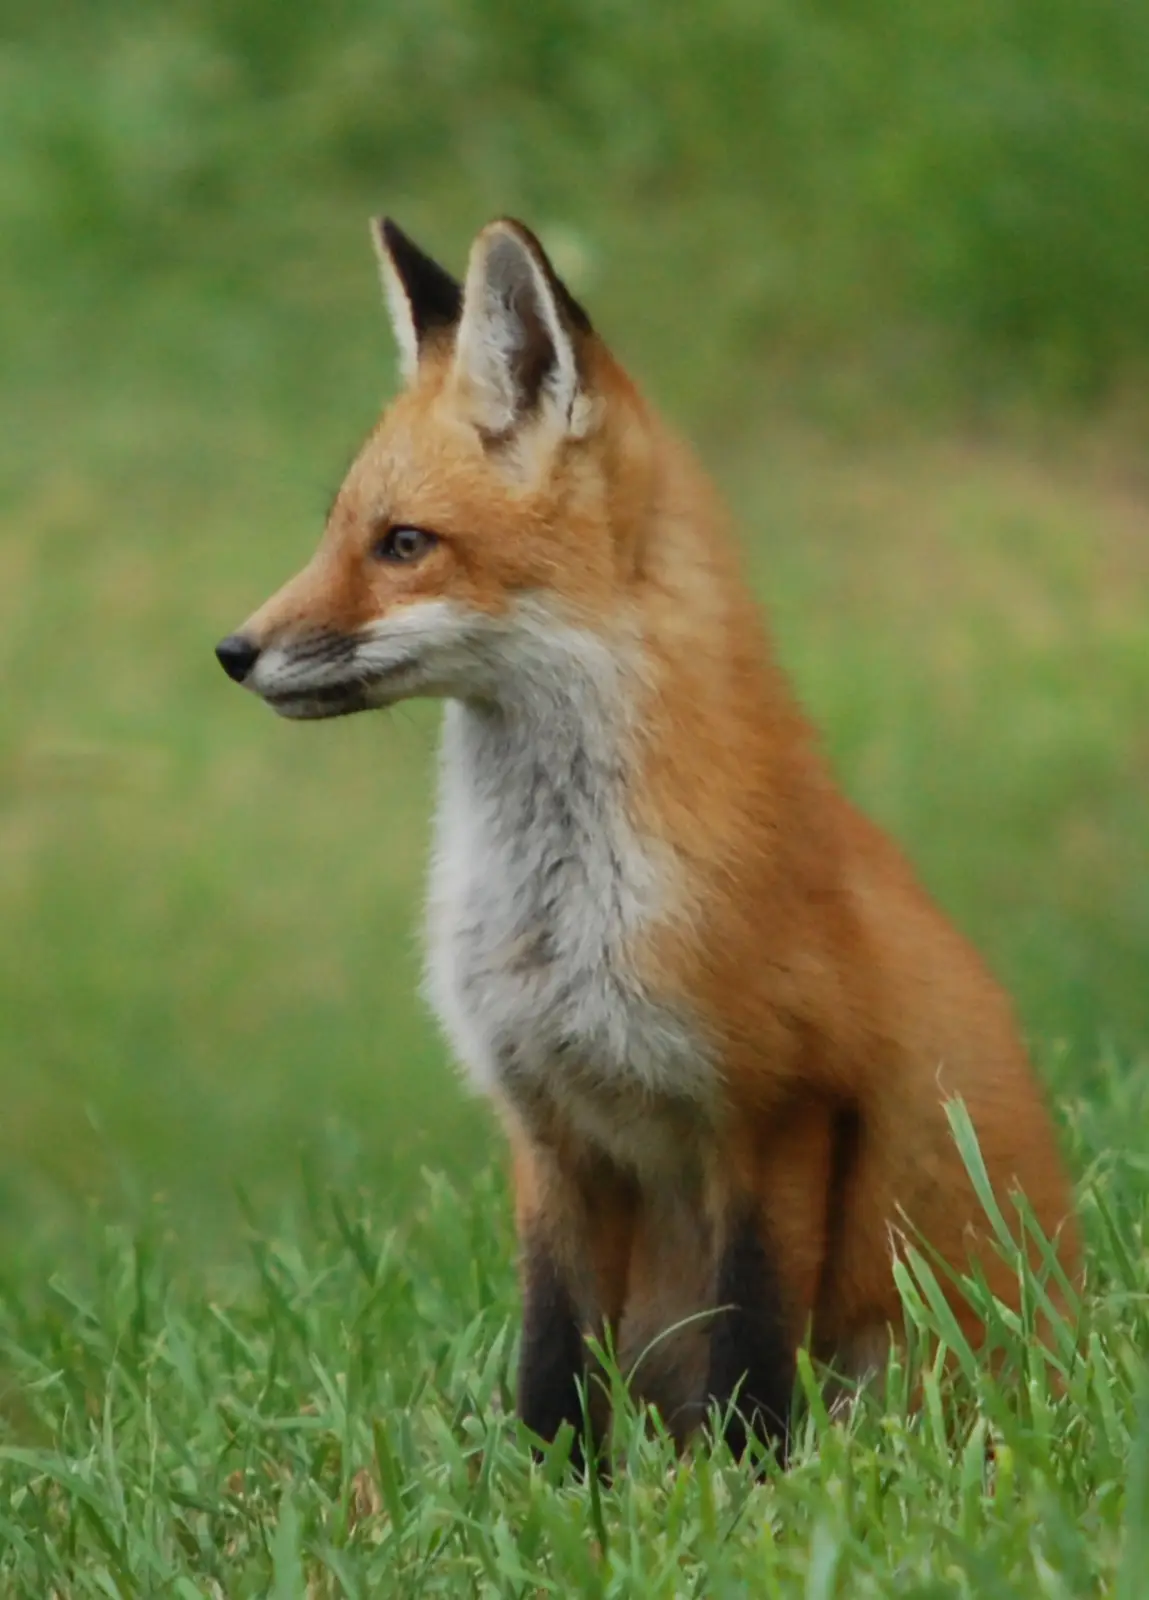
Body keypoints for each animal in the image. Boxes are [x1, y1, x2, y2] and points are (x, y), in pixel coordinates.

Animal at [216, 215, 1079, 1464]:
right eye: (337, 533)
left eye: (404, 544)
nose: (234, 651)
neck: (556, 911)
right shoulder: (548, 1129)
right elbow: (550, 1360)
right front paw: (547, 1490)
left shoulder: (779, 1109)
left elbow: (752, 1350)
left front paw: (748, 1487)